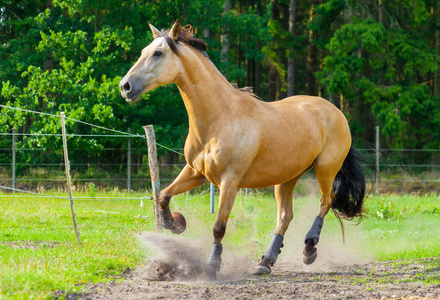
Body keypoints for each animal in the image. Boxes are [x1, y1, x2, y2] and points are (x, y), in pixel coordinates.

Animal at [118, 21, 366, 278]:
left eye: (158, 53)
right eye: (143, 51)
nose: (125, 86)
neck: (220, 118)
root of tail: (335, 111)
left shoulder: (230, 181)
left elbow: (219, 226)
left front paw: (212, 265)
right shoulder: (195, 172)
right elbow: (163, 196)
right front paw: (172, 224)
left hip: (325, 169)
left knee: (325, 202)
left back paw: (309, 247)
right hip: (287, 178)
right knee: (285, 216)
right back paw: (265, 262)